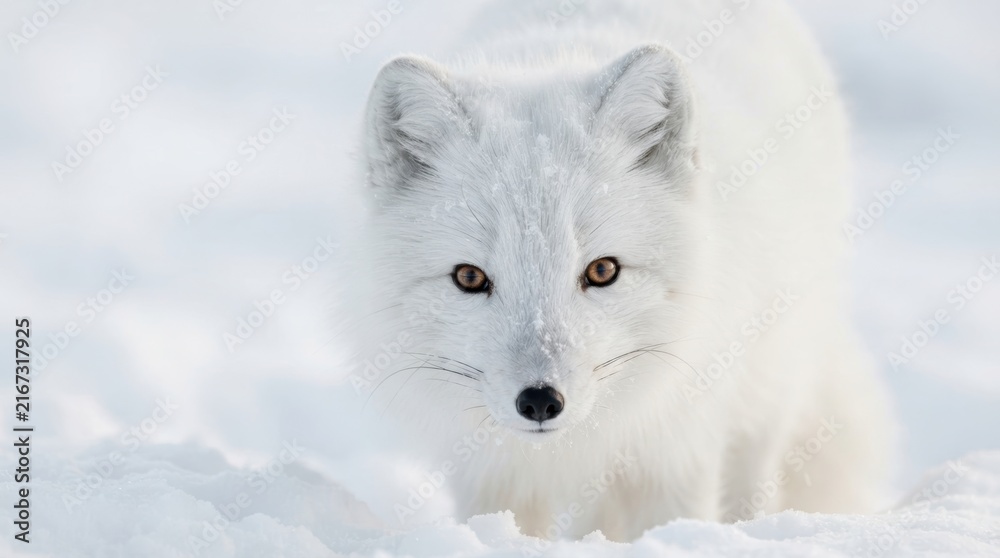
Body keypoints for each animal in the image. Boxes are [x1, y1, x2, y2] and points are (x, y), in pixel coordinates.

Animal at [344, 0, 891, 542]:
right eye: (470, 278)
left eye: (603, 270)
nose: (540, 401)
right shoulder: (492, 473)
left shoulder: (677, 448)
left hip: (769, 390)